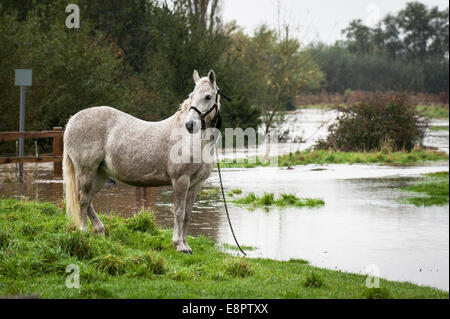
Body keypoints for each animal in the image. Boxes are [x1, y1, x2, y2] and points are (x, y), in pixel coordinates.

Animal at [64, 69, 222, 254]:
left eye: (208, 97)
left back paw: (99, 230)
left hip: (100, 174)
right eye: (191, 95)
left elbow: (188, 214)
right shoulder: (180, 180)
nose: (190, 125)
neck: (193, 140)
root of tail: (72, 120)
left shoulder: (195, 184)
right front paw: (179, 245)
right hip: (86, 170)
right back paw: (83, 231)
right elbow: (179, 211)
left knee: (88, 200)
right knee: (82, 199)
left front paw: (186, 245)